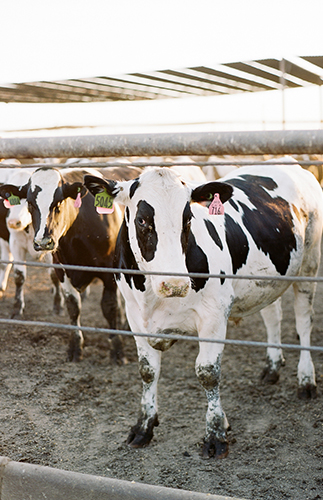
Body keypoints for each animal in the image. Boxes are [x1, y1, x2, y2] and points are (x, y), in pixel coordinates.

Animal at [0, 164, 142, 364]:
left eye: (59, 202)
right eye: (30, 203)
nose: (43, 242)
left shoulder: (109, 272)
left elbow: (109, 307)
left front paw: (117, 349)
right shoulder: (63, 271)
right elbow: (73, 307)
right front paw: (75, 346)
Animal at [84, 162, 323, 458]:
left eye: (187, 220)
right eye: (142, 220)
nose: (174, 284)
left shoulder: (214, 316)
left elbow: (208, 373)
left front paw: (216, 435)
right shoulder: (134, 316)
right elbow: (147, 371)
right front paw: (143, 427)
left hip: (309, 266)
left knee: (303, 321)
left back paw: (306, 380)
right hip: (267, 279)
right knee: (272, 316)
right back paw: (272, 367)